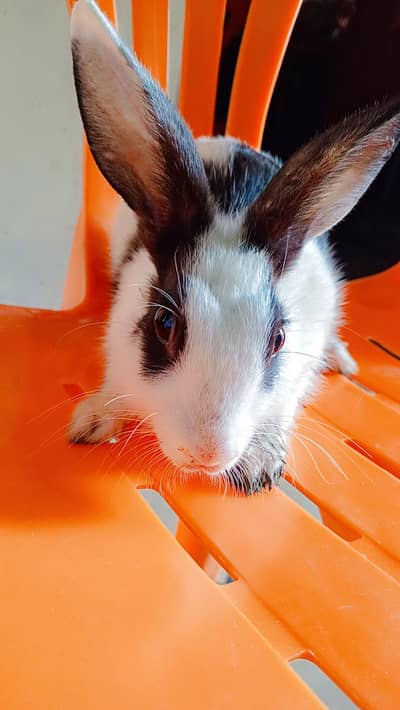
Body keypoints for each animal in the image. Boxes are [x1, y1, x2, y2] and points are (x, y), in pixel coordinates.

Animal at [68, 0, 400, 493]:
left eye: (278, 339)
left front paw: (260, 463)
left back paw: (340, 360)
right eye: (164, 324)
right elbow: (115, 387)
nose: (206, 455)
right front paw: (90, 422)